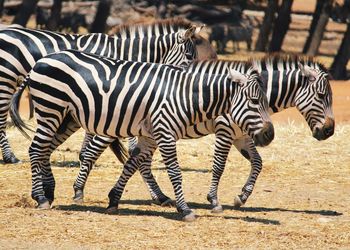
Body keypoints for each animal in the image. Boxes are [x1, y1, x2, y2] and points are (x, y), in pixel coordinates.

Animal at [0, 17, 211, 163]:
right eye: (189, 58)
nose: (191, 85)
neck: (123, 53)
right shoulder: (104, 90)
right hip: (5, 79)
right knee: (2, 118)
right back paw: (10, 157)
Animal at [9, 49, 274, 221]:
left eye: (265, 101)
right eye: (254, 101)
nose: (270, 135)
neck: (186, 96)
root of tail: (40, 60)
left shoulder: (150, 135)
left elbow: (132, 164)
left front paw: (114, 200)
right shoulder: (167, 133)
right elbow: (175, 172)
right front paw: (186, 209)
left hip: (65, 116)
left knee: (45, 149)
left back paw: (49, 192)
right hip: (51, 109)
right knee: (36, 149)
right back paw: (40, 197)